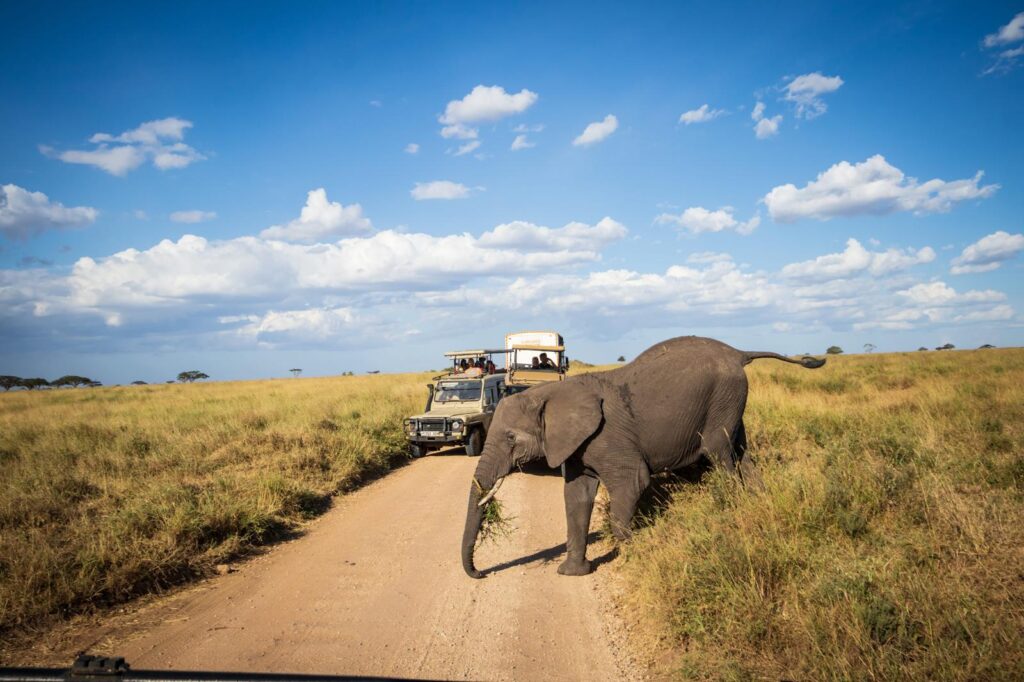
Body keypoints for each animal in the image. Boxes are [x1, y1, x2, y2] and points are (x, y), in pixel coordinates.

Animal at [461, 335, 825, 578]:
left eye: (510, 438)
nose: (480, 573)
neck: (548, 391)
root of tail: (738, 353)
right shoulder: (576, 444)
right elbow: (576, 496)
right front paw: (573, 573)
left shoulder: (607, 437)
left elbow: (633, 481)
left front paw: (639, 545)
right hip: (730, 400)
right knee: (741, 453)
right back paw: (757, 502)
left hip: (724, 397)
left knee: (719, 454)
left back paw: (731, 511)